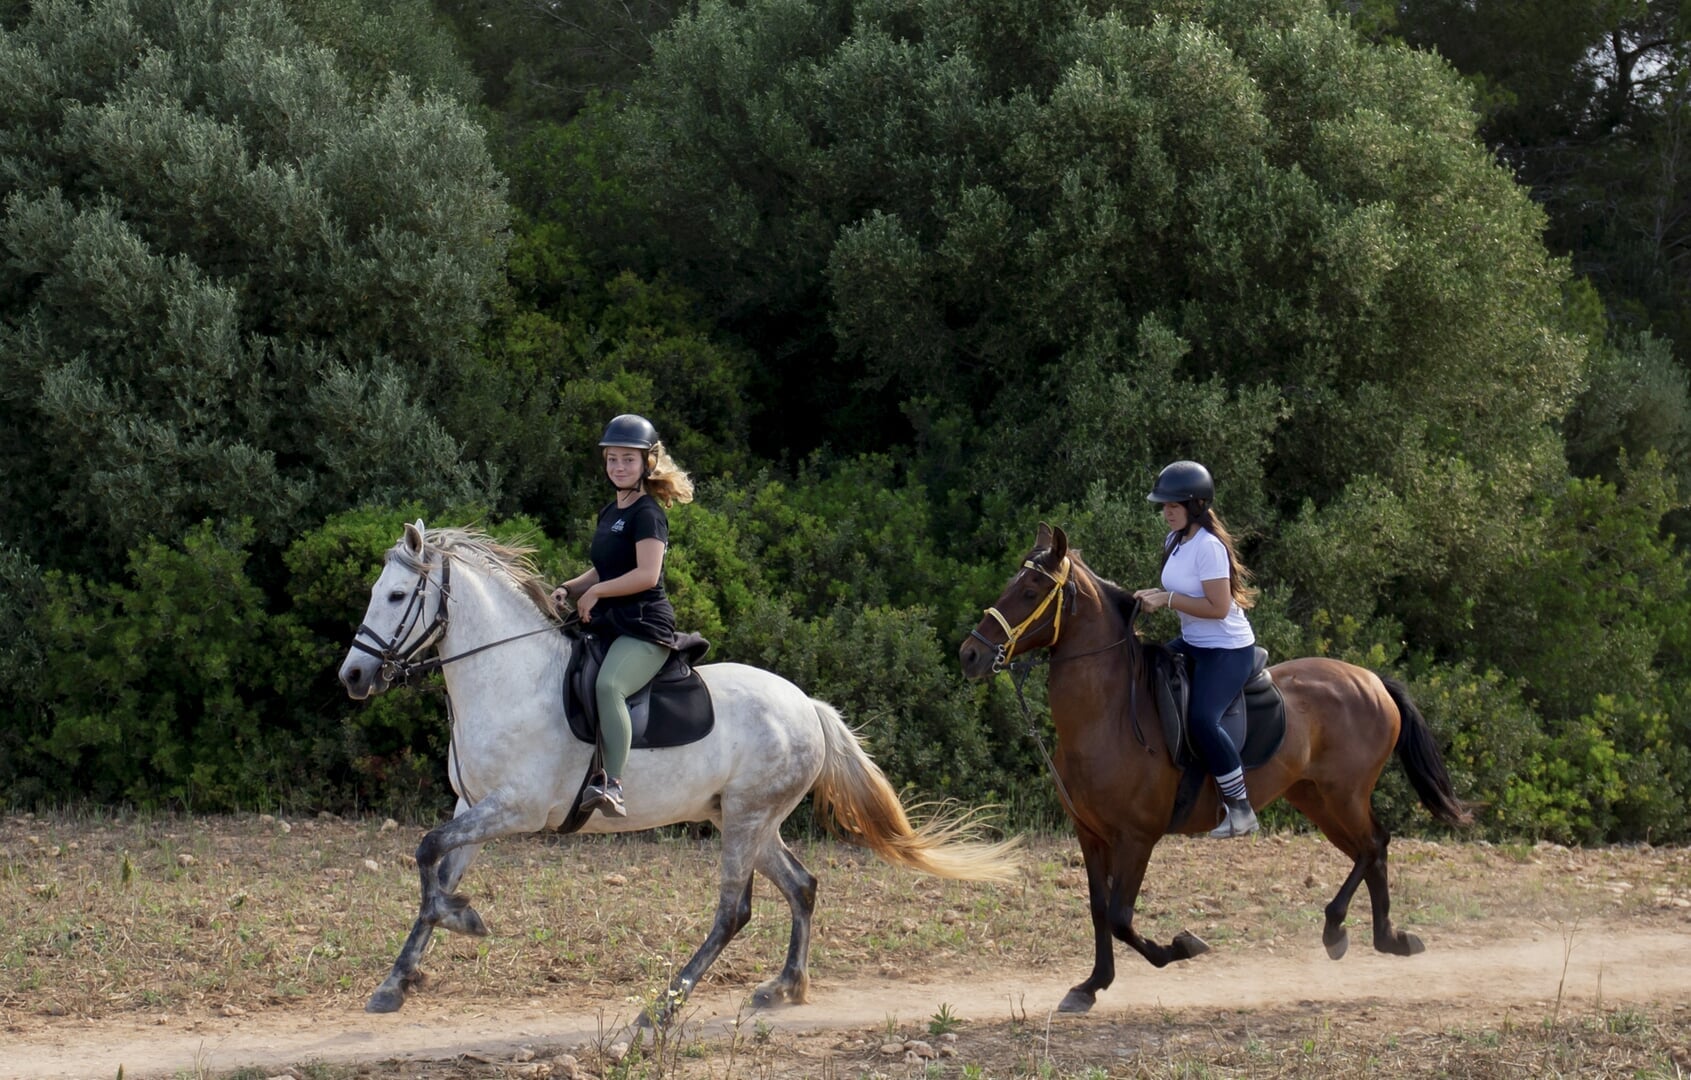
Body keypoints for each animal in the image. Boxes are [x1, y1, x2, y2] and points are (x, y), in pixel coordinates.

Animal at [339, 521, 1020, 1016]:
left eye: (396, 596)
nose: (354, 676)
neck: (507, 676)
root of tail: (809, 706)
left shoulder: (515, 808)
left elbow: (428, 853)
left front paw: (466, 921)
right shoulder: (473, 806)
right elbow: (436, 870)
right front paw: (398, 980)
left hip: (746, 818)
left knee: (734, 912)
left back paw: (664, 1005)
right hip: (749, 819)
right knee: (801, 886)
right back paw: (784, 987)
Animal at [958, 523, 1470, 1015]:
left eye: (1030, 590)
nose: (970, 654)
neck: (1107, 715)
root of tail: (1371, 680)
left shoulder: (1136, 837)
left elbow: (1121, 917)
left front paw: (1181, 947)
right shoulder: (1091, 833)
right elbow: (1100, 909)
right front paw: (1091, 986)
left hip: (1343, 795)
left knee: (1374, 845)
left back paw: (1349, 931)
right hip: (1316, 798)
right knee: (1370, 849)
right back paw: (1381, 937)